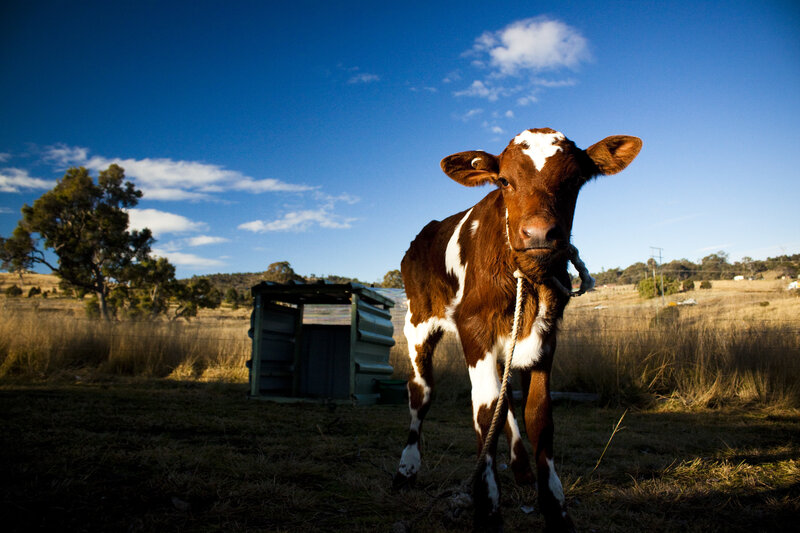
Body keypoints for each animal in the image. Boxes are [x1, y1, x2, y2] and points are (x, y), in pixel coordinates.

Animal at [393, 128, 642, 531]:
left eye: (574, 180)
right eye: (505, 181)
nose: (539, 234)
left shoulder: (546, 338)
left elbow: (538, 416)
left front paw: (556, 509)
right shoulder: (473, 329)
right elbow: (483, 414)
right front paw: (488, 509)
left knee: (505, 398)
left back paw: (522, 467)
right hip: (417, 324)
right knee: (421, 392)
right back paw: (407, 468)